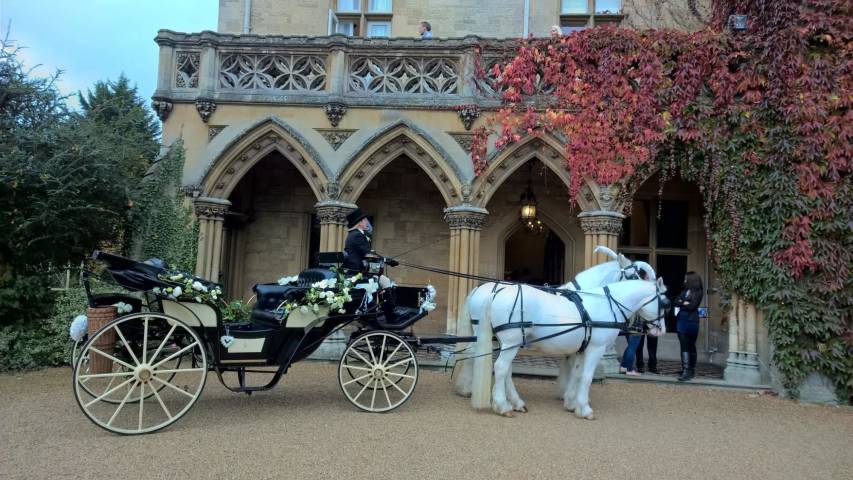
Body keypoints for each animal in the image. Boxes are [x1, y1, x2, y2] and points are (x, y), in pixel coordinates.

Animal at [472, 278, 669, 419]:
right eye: (665, 304)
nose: (662, 330)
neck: (607, 305)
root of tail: (495, 293)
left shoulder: (580, 349)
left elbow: (577, 374)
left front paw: (572, 403)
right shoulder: (595, 349)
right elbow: (587, 377)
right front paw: (584, 408)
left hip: (508, 343)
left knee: (506, 371)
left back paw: (516, 403)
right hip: (511, 342)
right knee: (501, 368)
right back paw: (503, 406)